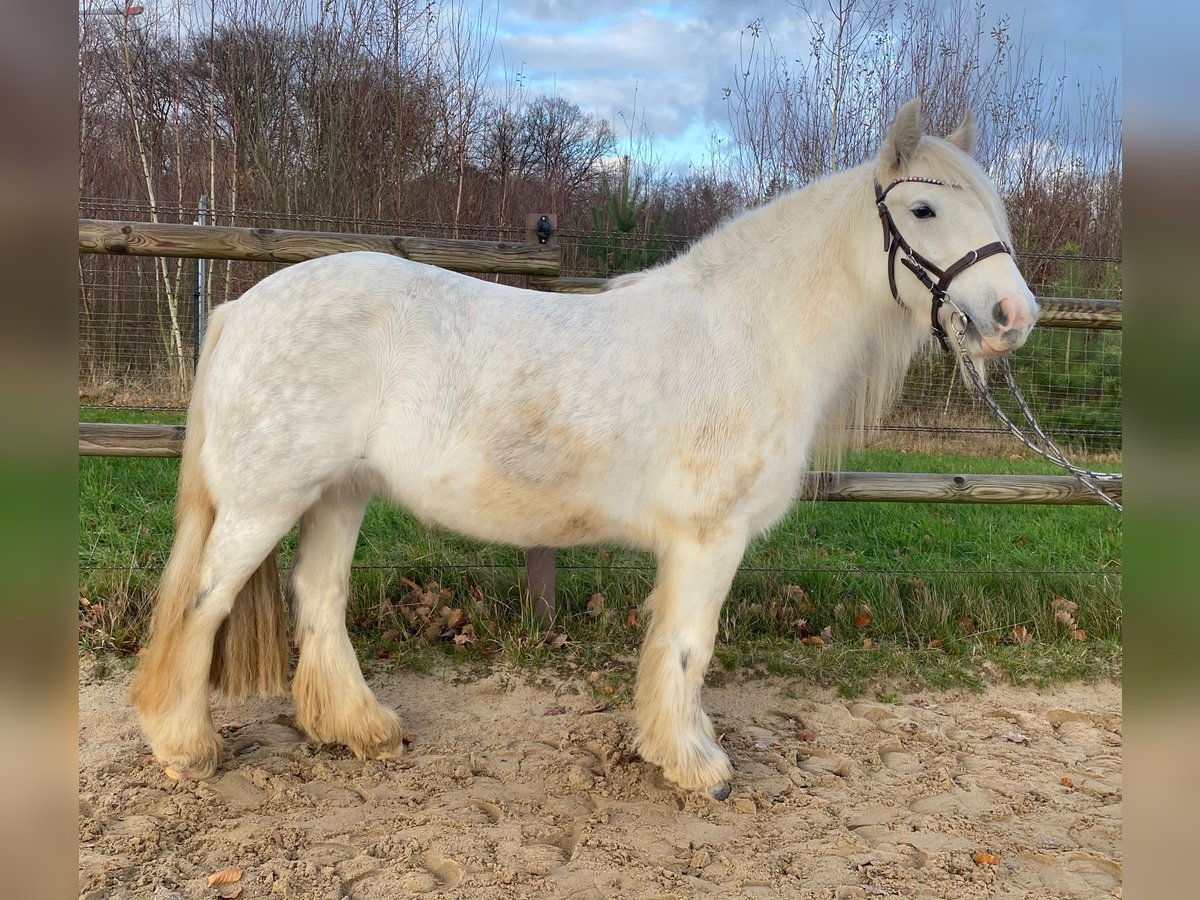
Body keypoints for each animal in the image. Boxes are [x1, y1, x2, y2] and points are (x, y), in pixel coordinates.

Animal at [129, 100, 1032, 801]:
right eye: (923, 211)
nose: (1013, 316)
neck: (746, 335)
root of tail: (242, 308)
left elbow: (678, 649)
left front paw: (677, 746)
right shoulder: (710, 538)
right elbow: (690, 646)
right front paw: (697, 767)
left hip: (340, 492)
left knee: (319, 597)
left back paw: (363, 731)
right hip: (265, 501)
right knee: (201, 604)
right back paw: (185, 749)